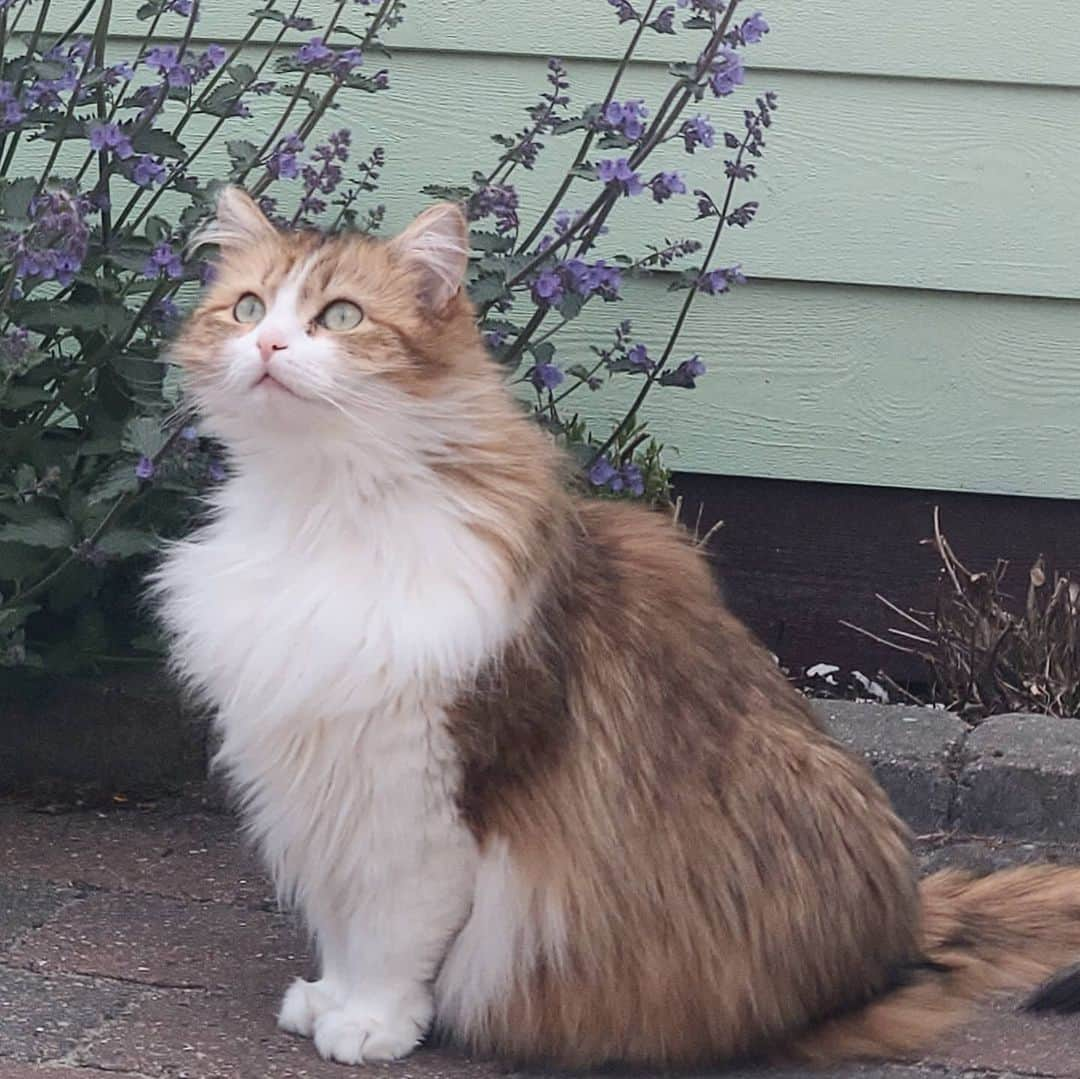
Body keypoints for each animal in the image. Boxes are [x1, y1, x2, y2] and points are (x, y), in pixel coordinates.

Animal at [154, 187, 1080, 1071]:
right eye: (247, 308)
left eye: (340, 316)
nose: (269, 346)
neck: (318, 504)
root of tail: (904, 927)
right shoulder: (323, 768)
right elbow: (346, 921)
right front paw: (331, 998)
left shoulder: (425, 786)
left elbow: (390, 930)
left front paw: (371, 1021)